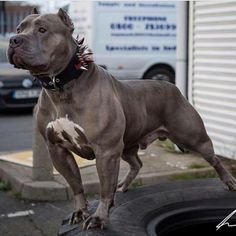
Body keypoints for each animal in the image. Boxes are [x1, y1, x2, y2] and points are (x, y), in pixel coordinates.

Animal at [7, 8, 236, 229]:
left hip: (192, 137)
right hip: (127, 145)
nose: (13, 40)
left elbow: (104, 188)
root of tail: (173, 87)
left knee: (214, 159)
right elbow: (76, 184)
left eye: (42, 30)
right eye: (19, 28)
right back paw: (123, 186)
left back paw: (229, 181)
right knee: (136, 163)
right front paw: (81, 211)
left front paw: (99, 218)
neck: (61, 86)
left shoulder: (106, 151)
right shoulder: (57, 149)